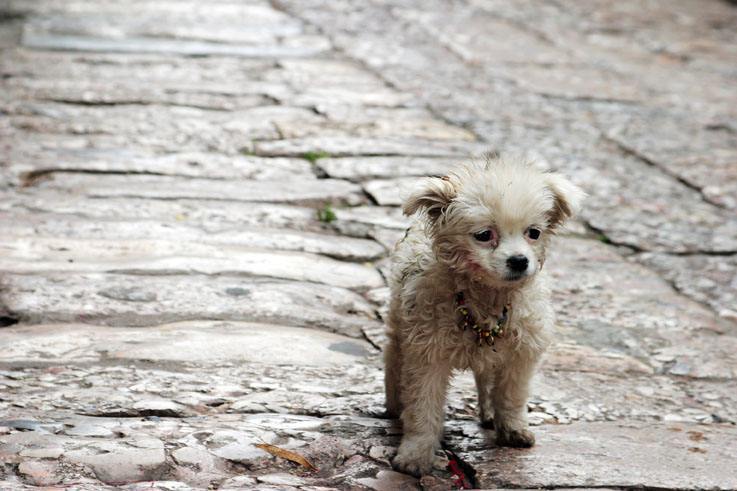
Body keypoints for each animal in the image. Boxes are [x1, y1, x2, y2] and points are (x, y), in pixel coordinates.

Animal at [382, 157, 584, 476]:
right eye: (484, 235)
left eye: (534, 233)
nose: (519, 261)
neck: (486, 299)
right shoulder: (427, 354)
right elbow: (423, 406)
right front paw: (416, 455)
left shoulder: (520, 352)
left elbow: (511, 396)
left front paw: (512, 429)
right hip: (399, 323)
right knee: (394, 359)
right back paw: (393, 404)